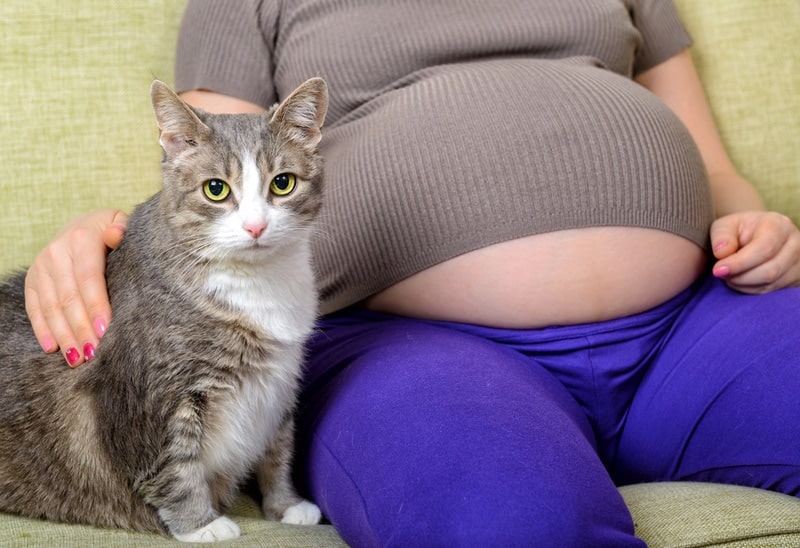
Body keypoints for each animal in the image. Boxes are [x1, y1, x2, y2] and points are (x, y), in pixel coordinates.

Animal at [0, 78, 328, 544]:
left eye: (283, 183)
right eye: (215, 189)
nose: (255, 226)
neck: (255, 285)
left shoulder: (280, 384)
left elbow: (278, 449)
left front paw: (285, 506)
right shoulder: (153, 394)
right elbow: (171, 464)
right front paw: (202, 524)